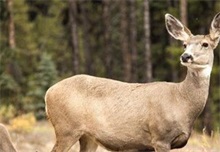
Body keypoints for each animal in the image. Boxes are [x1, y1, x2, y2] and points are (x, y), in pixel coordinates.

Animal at [45, 12, 220, 152]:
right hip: (66, 128)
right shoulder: (160, 137)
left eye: (205, 44)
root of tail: (48, 93)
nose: (185, 56)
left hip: (88, 136)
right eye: (184, 45)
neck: (182, 102)